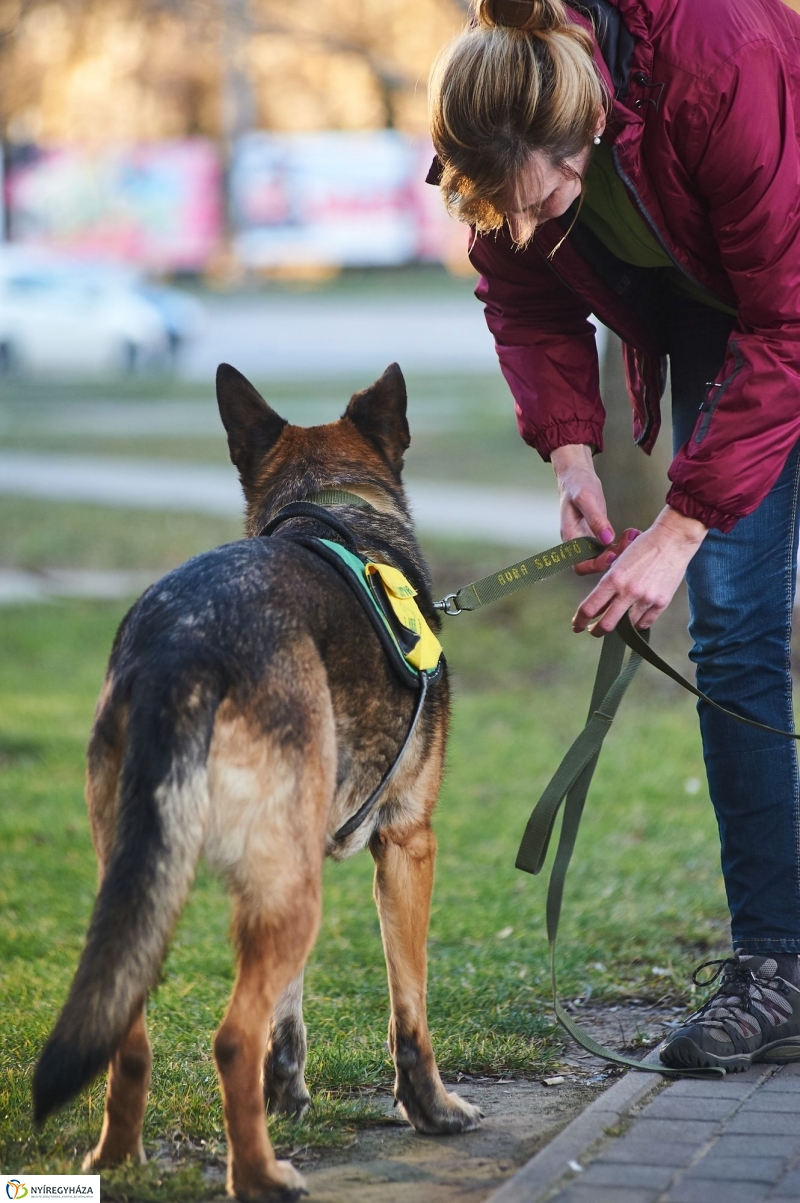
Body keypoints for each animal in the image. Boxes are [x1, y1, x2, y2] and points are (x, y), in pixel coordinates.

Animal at [32, 360, 481, 1198]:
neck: (331, 503)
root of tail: (182, 644)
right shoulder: (408, 844)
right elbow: (410, 1007)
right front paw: (431, 1108)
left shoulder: (294, 858)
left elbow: (290, 1004)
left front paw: (288, 1090)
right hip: (286, 883)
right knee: (232, 1037)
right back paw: (260, 1174)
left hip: (158, 879)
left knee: (126, 1030)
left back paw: (118, 1158)